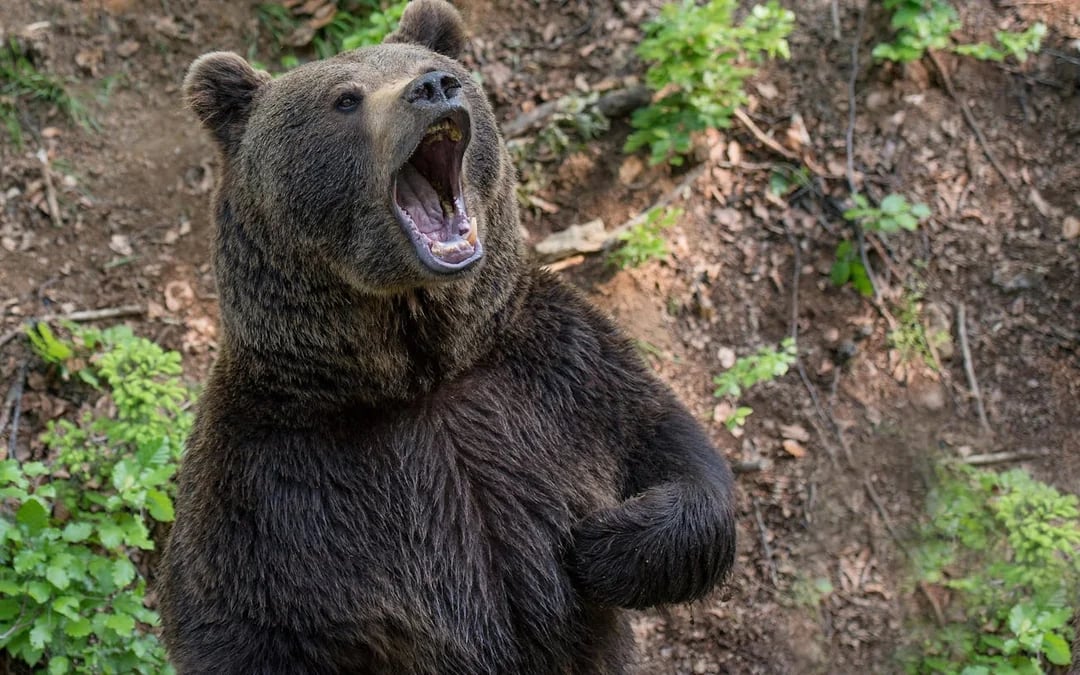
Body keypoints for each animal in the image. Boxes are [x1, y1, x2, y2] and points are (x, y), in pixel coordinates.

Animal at [159, 1, 737, 672]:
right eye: (345, 98)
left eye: (435, 67)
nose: (434, 88)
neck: (421, 372)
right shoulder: (269, 483)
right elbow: (233, 623)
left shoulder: (561, 373)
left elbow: (674, 451)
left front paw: (602, 546)